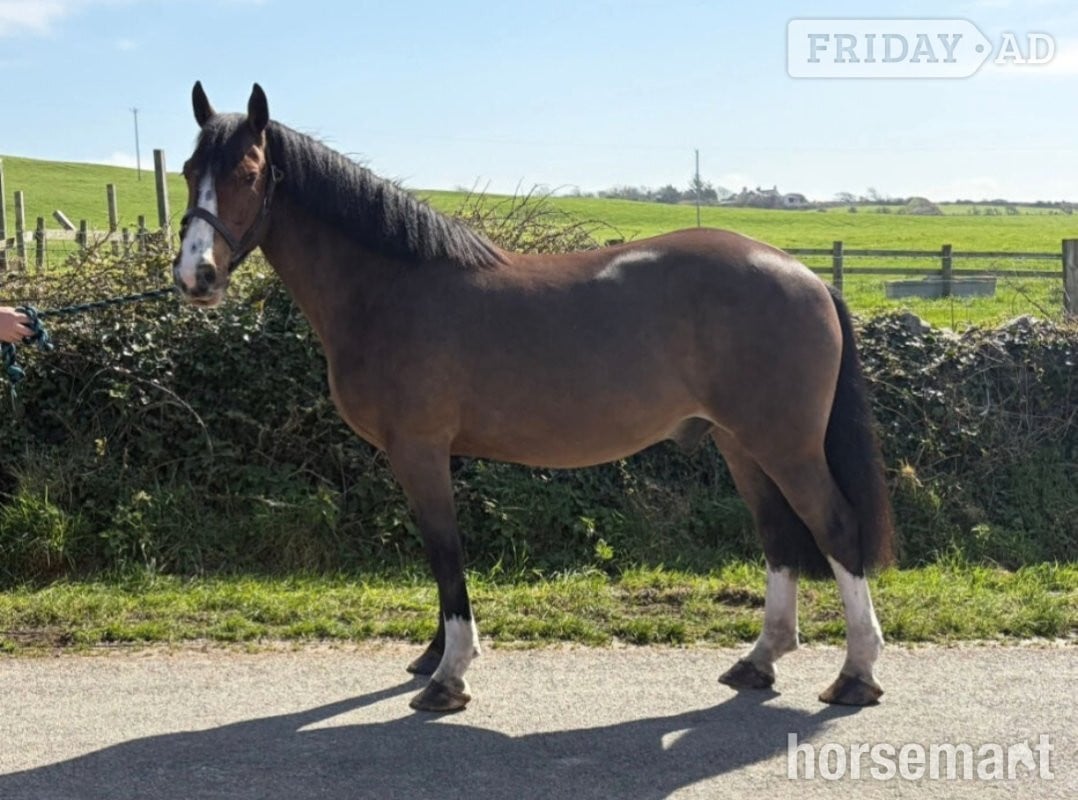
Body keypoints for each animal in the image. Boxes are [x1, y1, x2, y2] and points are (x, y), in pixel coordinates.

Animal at [173, 83, 894, 713]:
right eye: (186, 170)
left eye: (247, 172)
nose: (195, 276)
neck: (391, 287)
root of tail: (805, 274)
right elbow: (439, 555)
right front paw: (435, 655)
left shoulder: (418, 451)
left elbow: (445, 552)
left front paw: (449, 675)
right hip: (741, 443)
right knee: (778, 535)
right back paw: (760, 660)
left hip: (784, 444)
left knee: (834, 526)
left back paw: (855, 673)